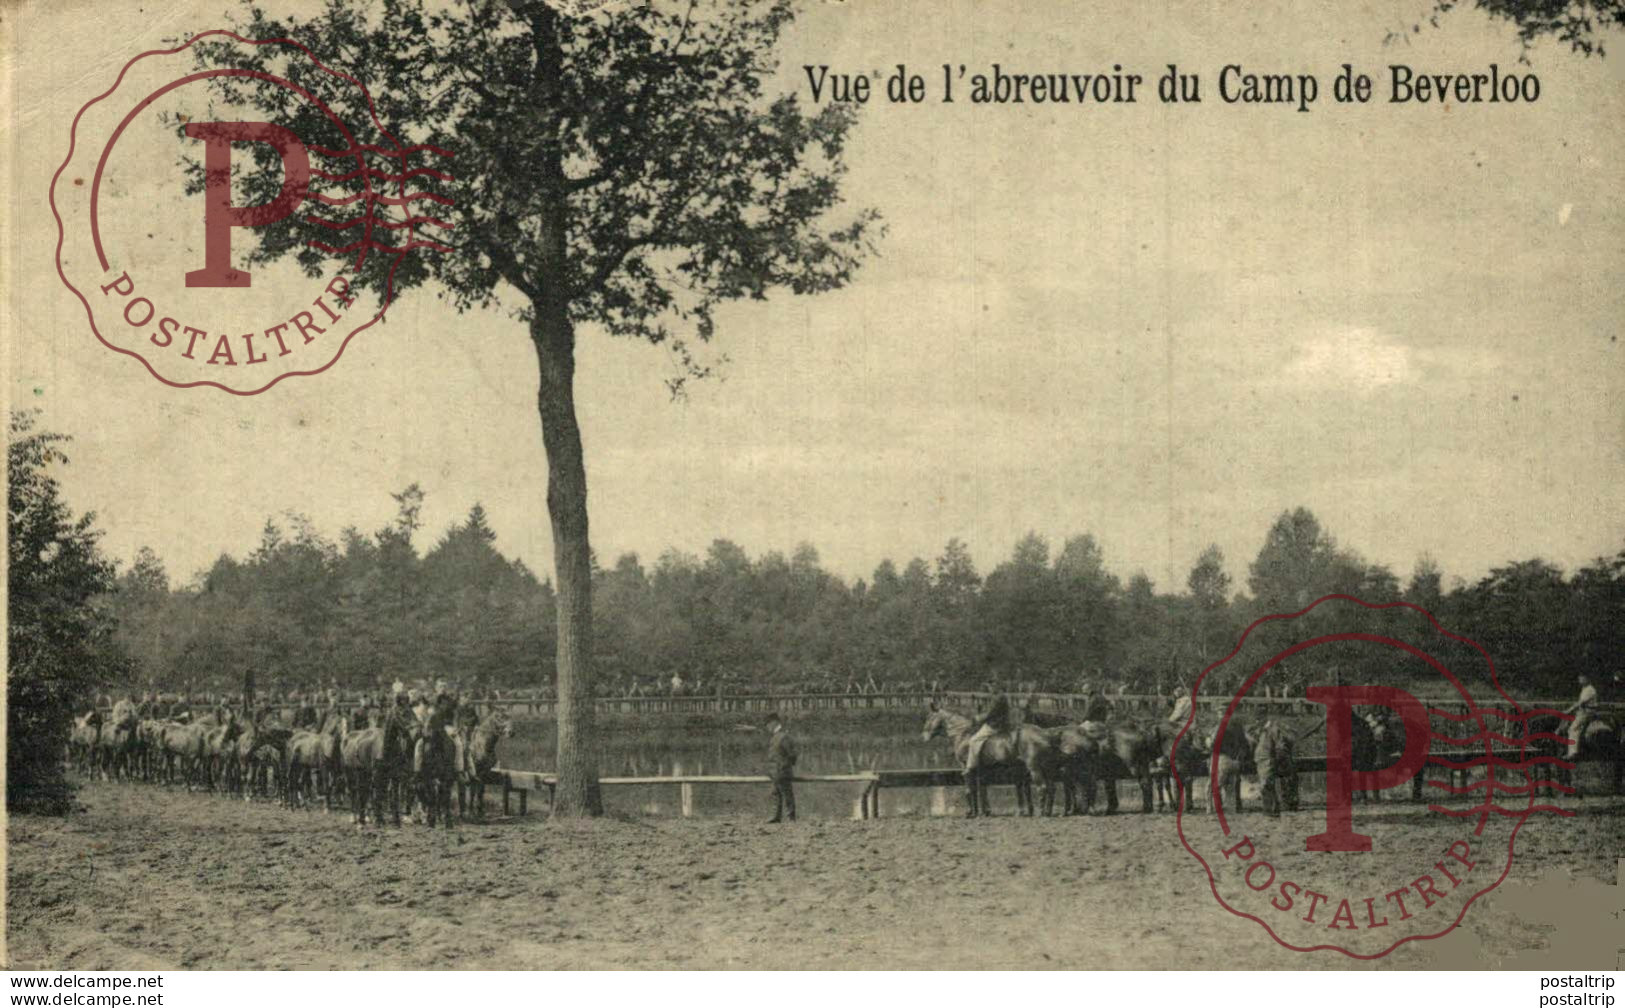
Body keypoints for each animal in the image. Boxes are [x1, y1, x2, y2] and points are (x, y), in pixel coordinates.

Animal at [923, 702, 1059, 819]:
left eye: (929, 717)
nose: (924, 736)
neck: (963, 734)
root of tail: (1045, 734)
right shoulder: (980, 770)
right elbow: (981, 790)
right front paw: (983, 812)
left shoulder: (965, 768)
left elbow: (969, 789)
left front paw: (970, 812)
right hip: (1046, 769)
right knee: (1051, 788)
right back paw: (1047, 811)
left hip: (1034, 767)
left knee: (1042, 788)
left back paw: (1041, 813)